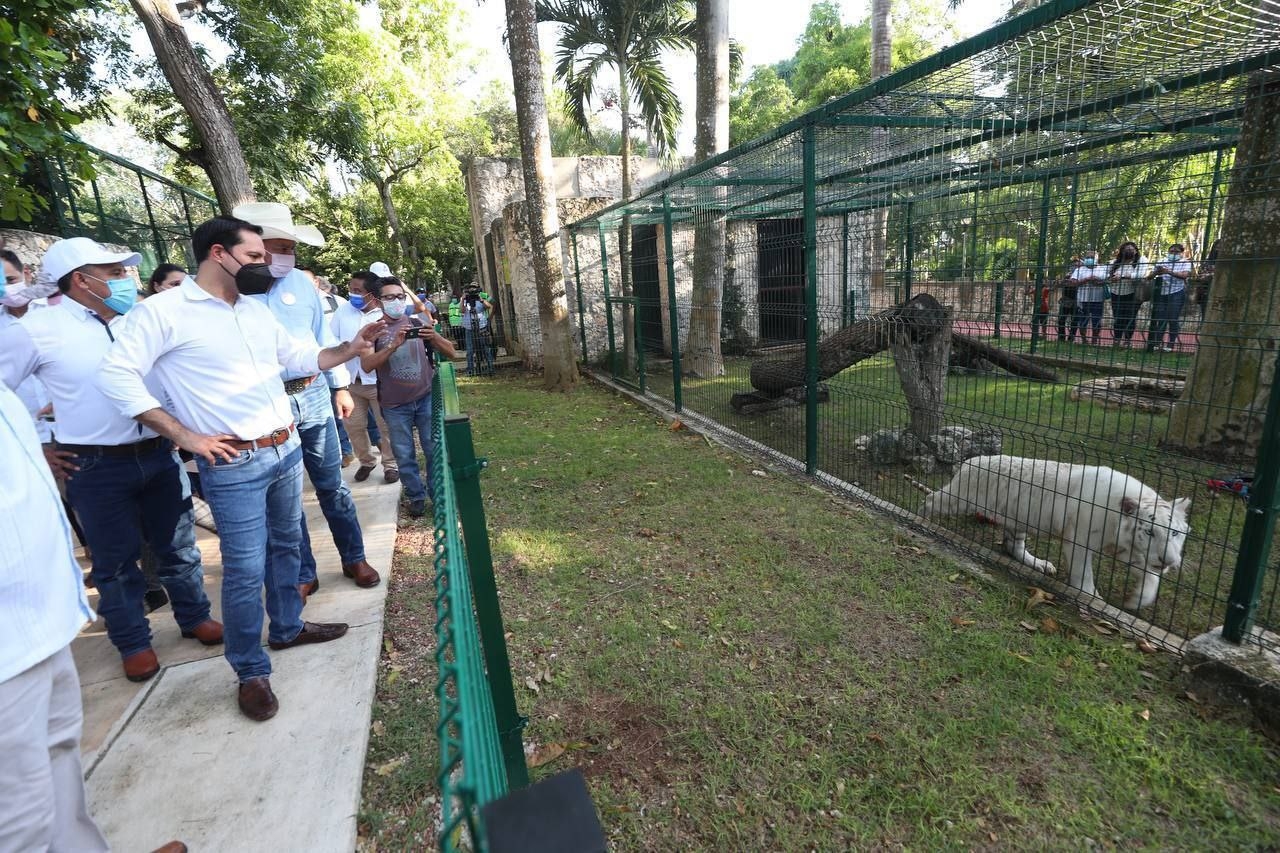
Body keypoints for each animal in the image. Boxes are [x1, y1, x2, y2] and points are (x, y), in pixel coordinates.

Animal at [921, 455, 1187, 607]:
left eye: (1175, 533)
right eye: (1150, 532)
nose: (1169, 560)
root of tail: (971, 461)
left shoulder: (1128, 550)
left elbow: (1150, 575)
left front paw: (1138, 599)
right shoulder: (1078, 542)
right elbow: (1084, 576)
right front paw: (1092, 599)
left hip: (1018, 520)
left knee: (1013, 546)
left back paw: (1039, 563)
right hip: (958, 499)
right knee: (931, 499)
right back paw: (923, 518)